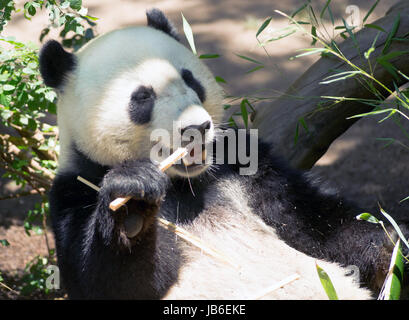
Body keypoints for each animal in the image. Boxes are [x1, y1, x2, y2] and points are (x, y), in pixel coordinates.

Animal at [39, 8, 404, 300]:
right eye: (142, 97)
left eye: (190, 80)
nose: (196, 127)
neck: (185, 182)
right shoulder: (77, 187)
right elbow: (110, 281)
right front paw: (132, 205)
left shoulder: (242, 165)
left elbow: (315, 222)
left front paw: (391, 246)